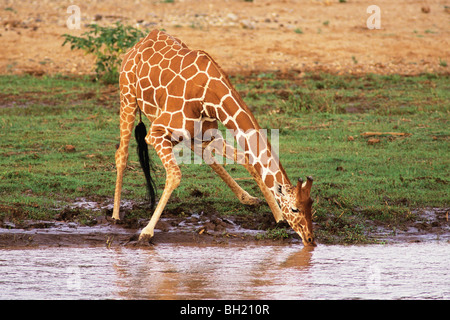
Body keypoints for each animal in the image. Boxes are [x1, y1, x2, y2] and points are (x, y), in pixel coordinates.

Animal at [112, 29, 316, 245]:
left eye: (311, 203)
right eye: (295, 208)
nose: (310, 239)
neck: (210, 96)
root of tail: (139, 43)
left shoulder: (207, 134)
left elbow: (247, 159)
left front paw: (278, 217)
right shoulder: (155, 133)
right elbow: (175, 175)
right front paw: (146, 232)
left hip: (189, 133)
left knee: (205, 154)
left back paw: (247, 198)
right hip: (127, 99)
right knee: (122, 154)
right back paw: (115, 215)